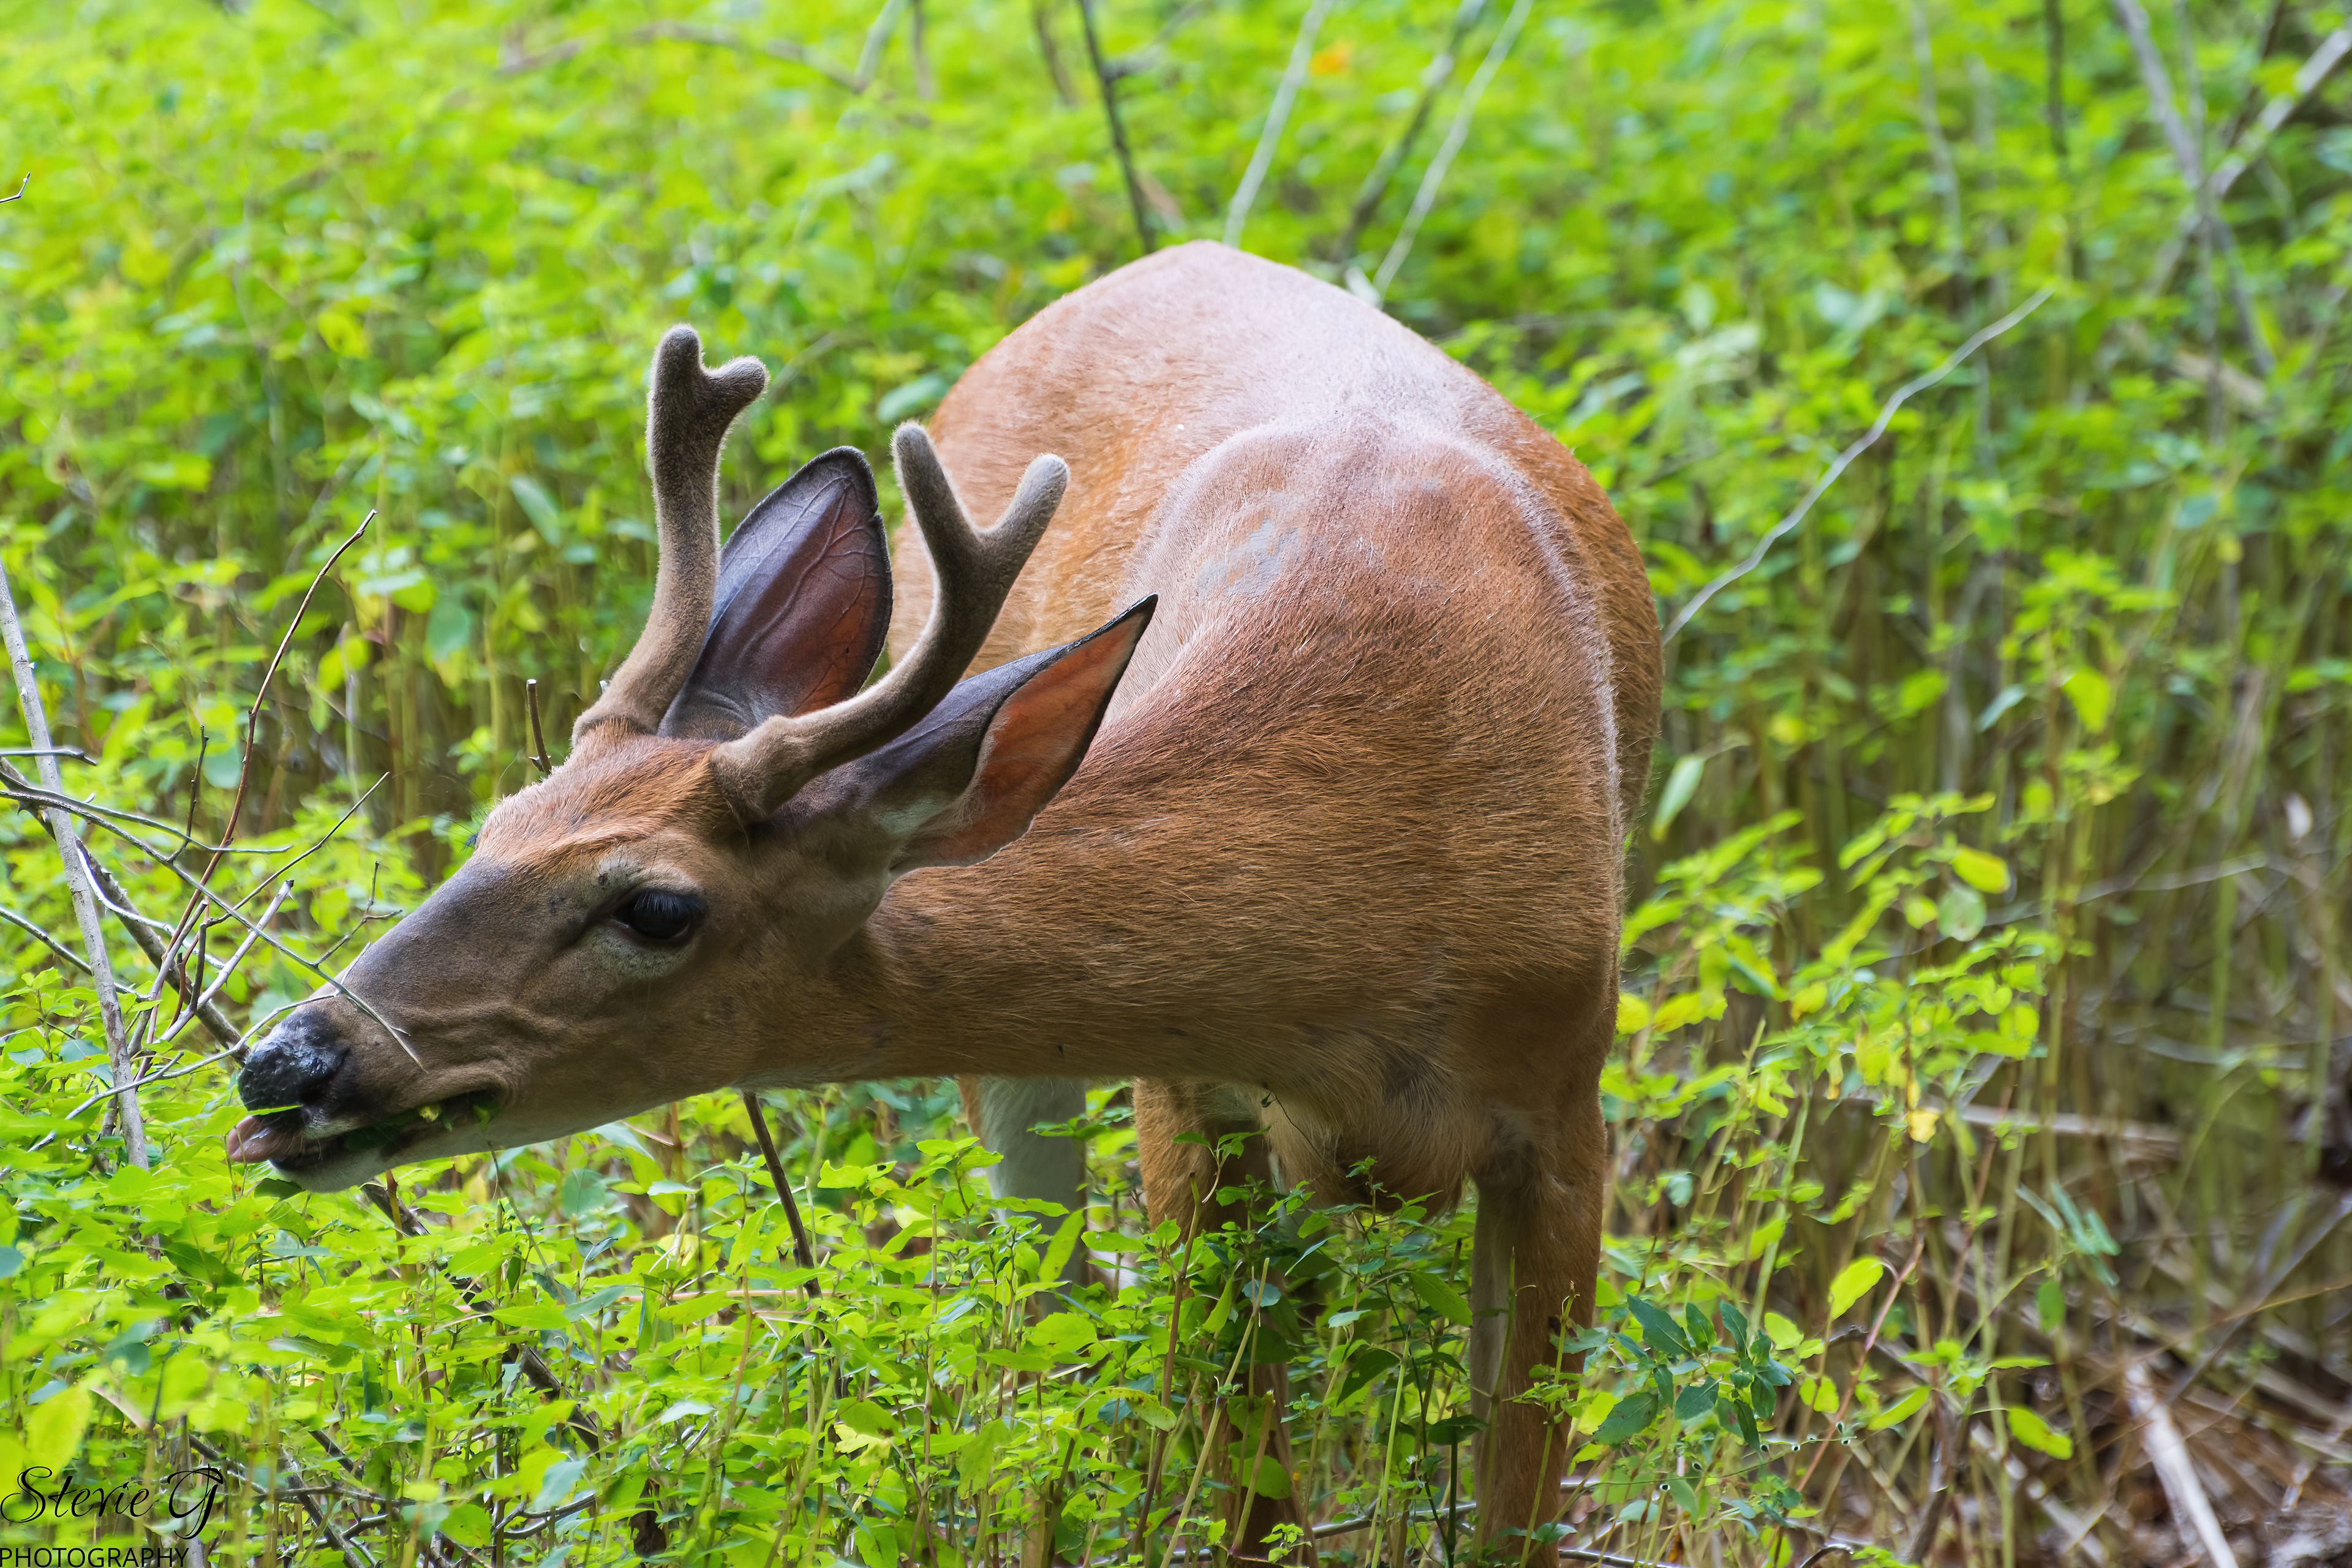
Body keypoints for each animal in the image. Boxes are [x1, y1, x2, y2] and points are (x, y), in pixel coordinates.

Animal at [227, 240, 1659, 1561]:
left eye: (656, 908)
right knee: (1042, 1364)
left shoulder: (1565, 1105)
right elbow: (1235, 1482)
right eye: (497, 825)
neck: (1401, 855)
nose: (286, 1059)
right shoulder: (1185, 1093)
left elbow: (1511, 1503)